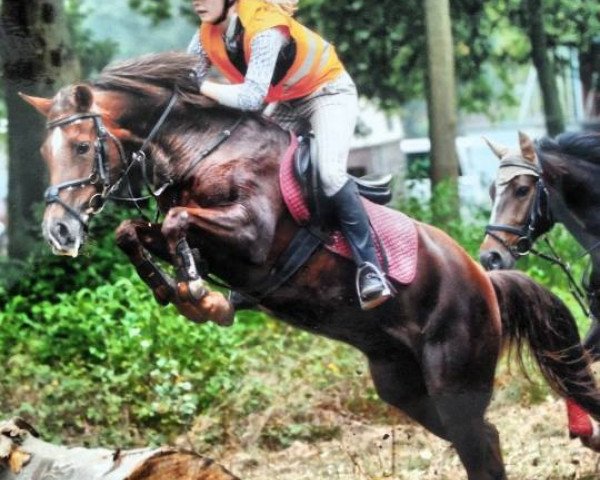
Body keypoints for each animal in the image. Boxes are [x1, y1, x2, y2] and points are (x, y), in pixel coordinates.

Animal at [21, 52, 600, 476]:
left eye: (80, 146)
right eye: (45, 155)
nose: (59, 232)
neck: (205, 148)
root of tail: (486, 280)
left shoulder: (252, 235)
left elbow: (176, 222)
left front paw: (198, 295)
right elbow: (134, 231)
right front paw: (178, 292)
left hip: (455, 376)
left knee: (481, 445)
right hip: (404, 386)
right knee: (482, 440)